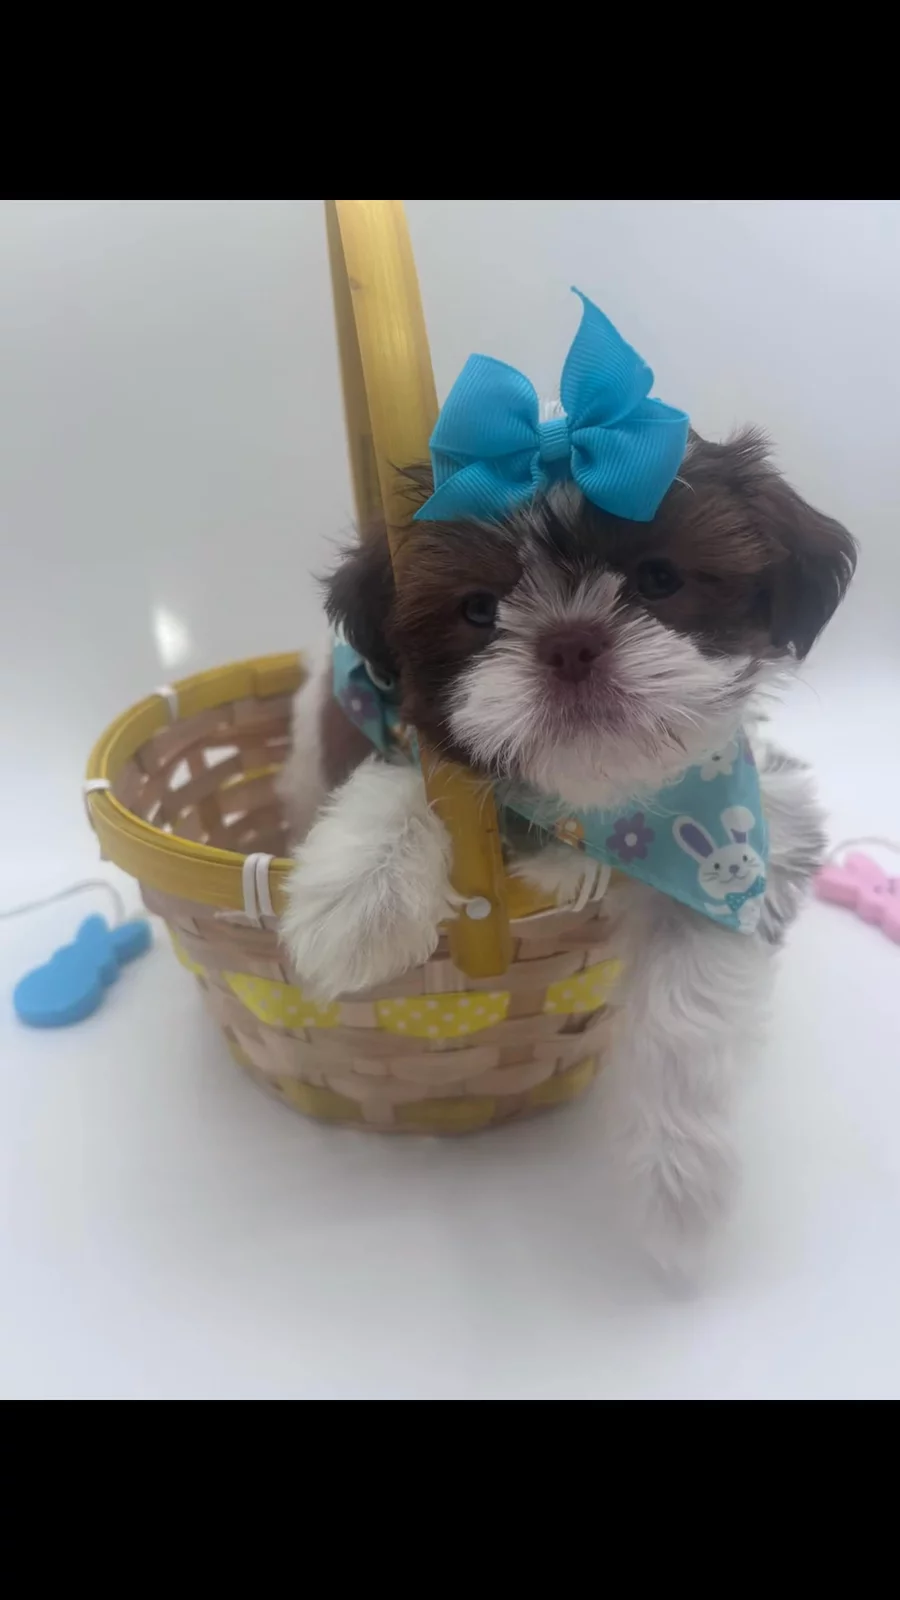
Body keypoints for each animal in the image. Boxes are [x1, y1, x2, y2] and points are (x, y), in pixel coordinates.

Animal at [278, 431, 855, 1275]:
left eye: (659, 578)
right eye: (480, 609)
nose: (571, 641)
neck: (591, 805)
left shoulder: (744, 851)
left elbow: (690, 1008)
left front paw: (679, 1189)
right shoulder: (409, 730)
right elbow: (425, 774)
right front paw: (359, 901)